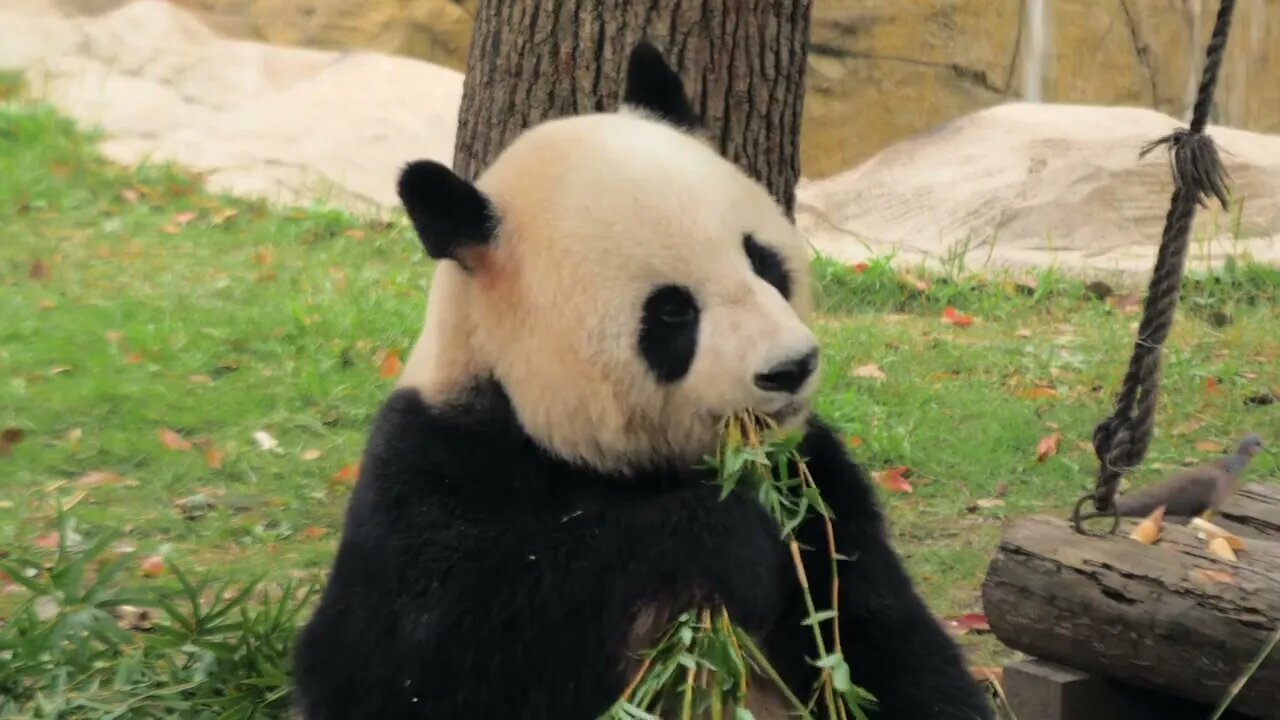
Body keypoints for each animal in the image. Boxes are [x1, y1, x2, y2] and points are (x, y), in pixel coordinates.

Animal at [293, 40, 988, 717]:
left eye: (762, 260)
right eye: (673, 311)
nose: (790, 368)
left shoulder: (813, 482)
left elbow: (878, 639)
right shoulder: (437, 463)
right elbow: (409, 657)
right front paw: (723, 533)